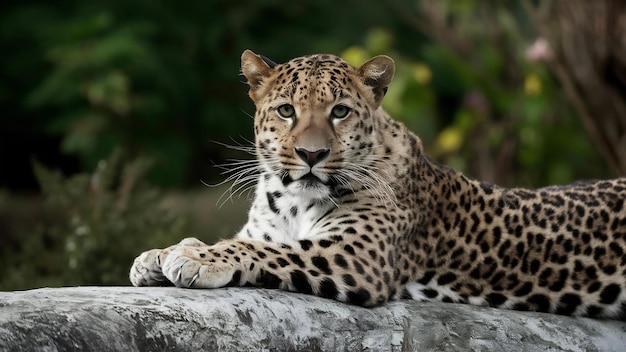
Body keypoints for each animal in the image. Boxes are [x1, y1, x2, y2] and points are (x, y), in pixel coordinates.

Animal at [128, 48, 624, 320]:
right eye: (286, 111)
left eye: (340, 112)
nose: (311, 155)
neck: (292, 201)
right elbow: (244, 239)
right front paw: (159, 254)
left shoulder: (354, 256)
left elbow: (262, 250)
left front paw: (193, 258)